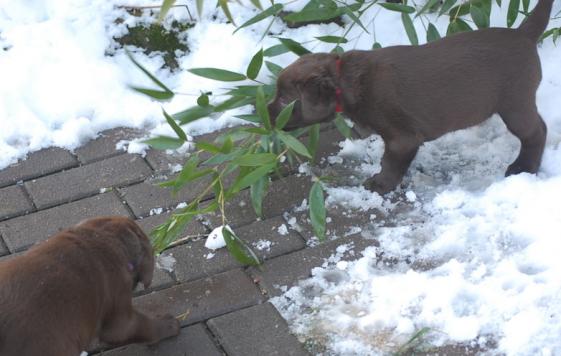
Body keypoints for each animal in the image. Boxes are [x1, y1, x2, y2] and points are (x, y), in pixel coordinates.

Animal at [266, 0, 552, 195]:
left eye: (284, 101)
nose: (265, 113)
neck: (344, 80)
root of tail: (523, 34)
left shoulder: (402, 139)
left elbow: (391, 163)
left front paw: (380, 184)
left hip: (515, 103)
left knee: (536, 131)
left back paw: (524, 167)